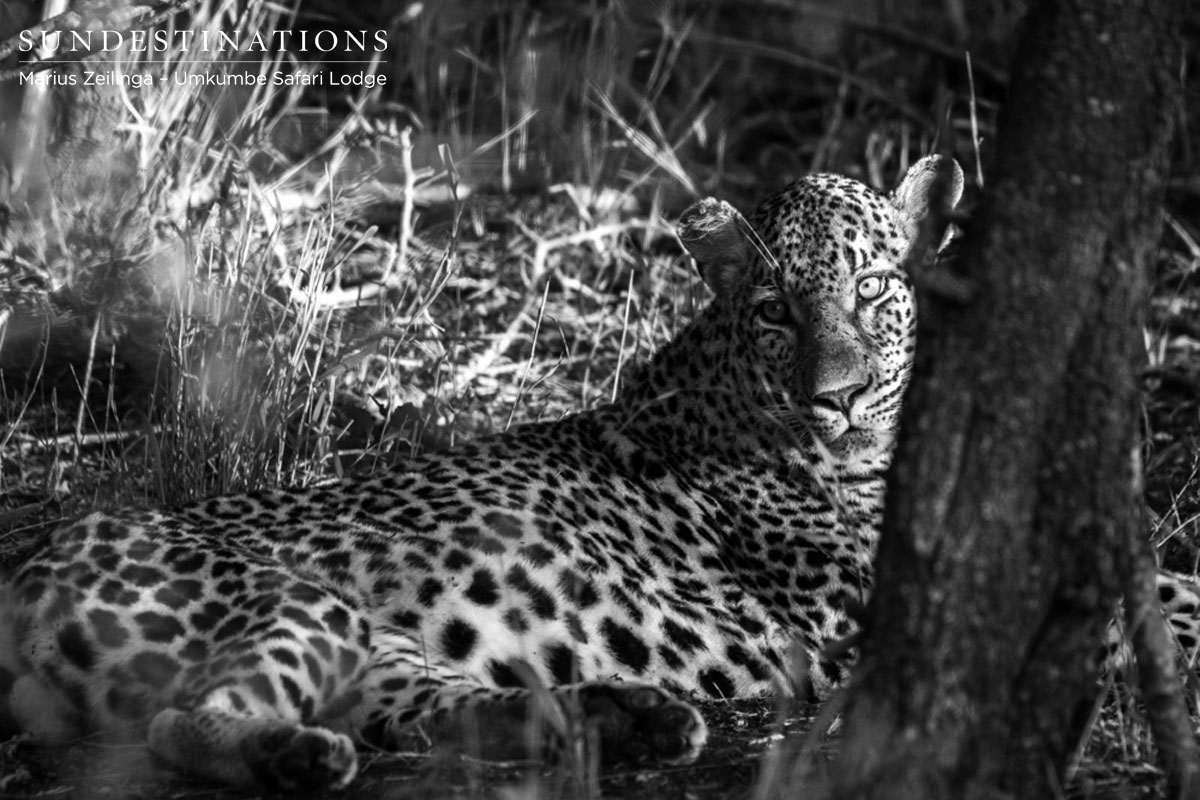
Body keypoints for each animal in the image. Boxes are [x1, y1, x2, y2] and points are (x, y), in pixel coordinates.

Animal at [6, 154, 1195, 792]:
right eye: (779, 311)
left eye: (871, 291)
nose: (841, 398)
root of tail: (28, 562)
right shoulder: (864, 595)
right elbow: (1170, 594)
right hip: (290, 601)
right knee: (180, 723)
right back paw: (308, 757)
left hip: (369, 646)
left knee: (429, 711)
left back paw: (623, 717)